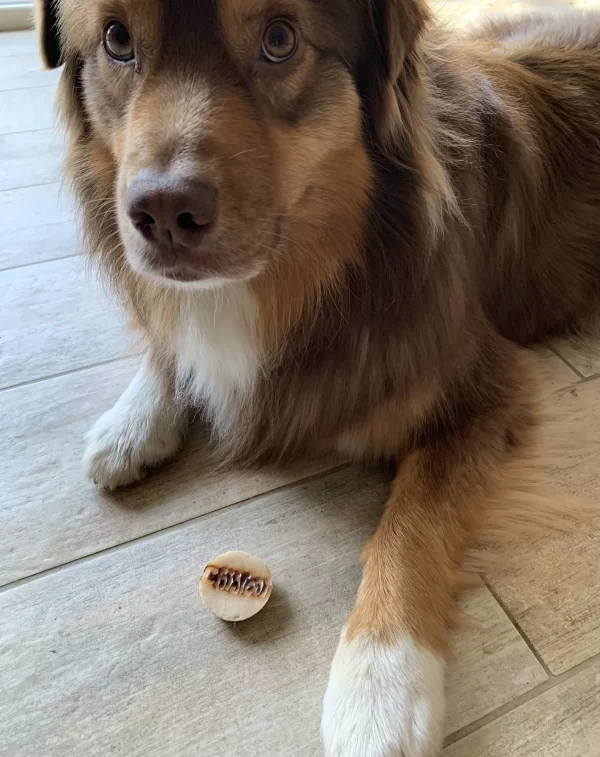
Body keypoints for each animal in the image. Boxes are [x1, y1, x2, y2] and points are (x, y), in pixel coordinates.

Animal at [36, 1, 600, 752]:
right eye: (117, 40)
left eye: (280, 40)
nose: (161, 215)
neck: (337, 261)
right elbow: (171, 335)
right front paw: (133, 421)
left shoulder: (488, 387)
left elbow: (410, 523)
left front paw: (380, 684)